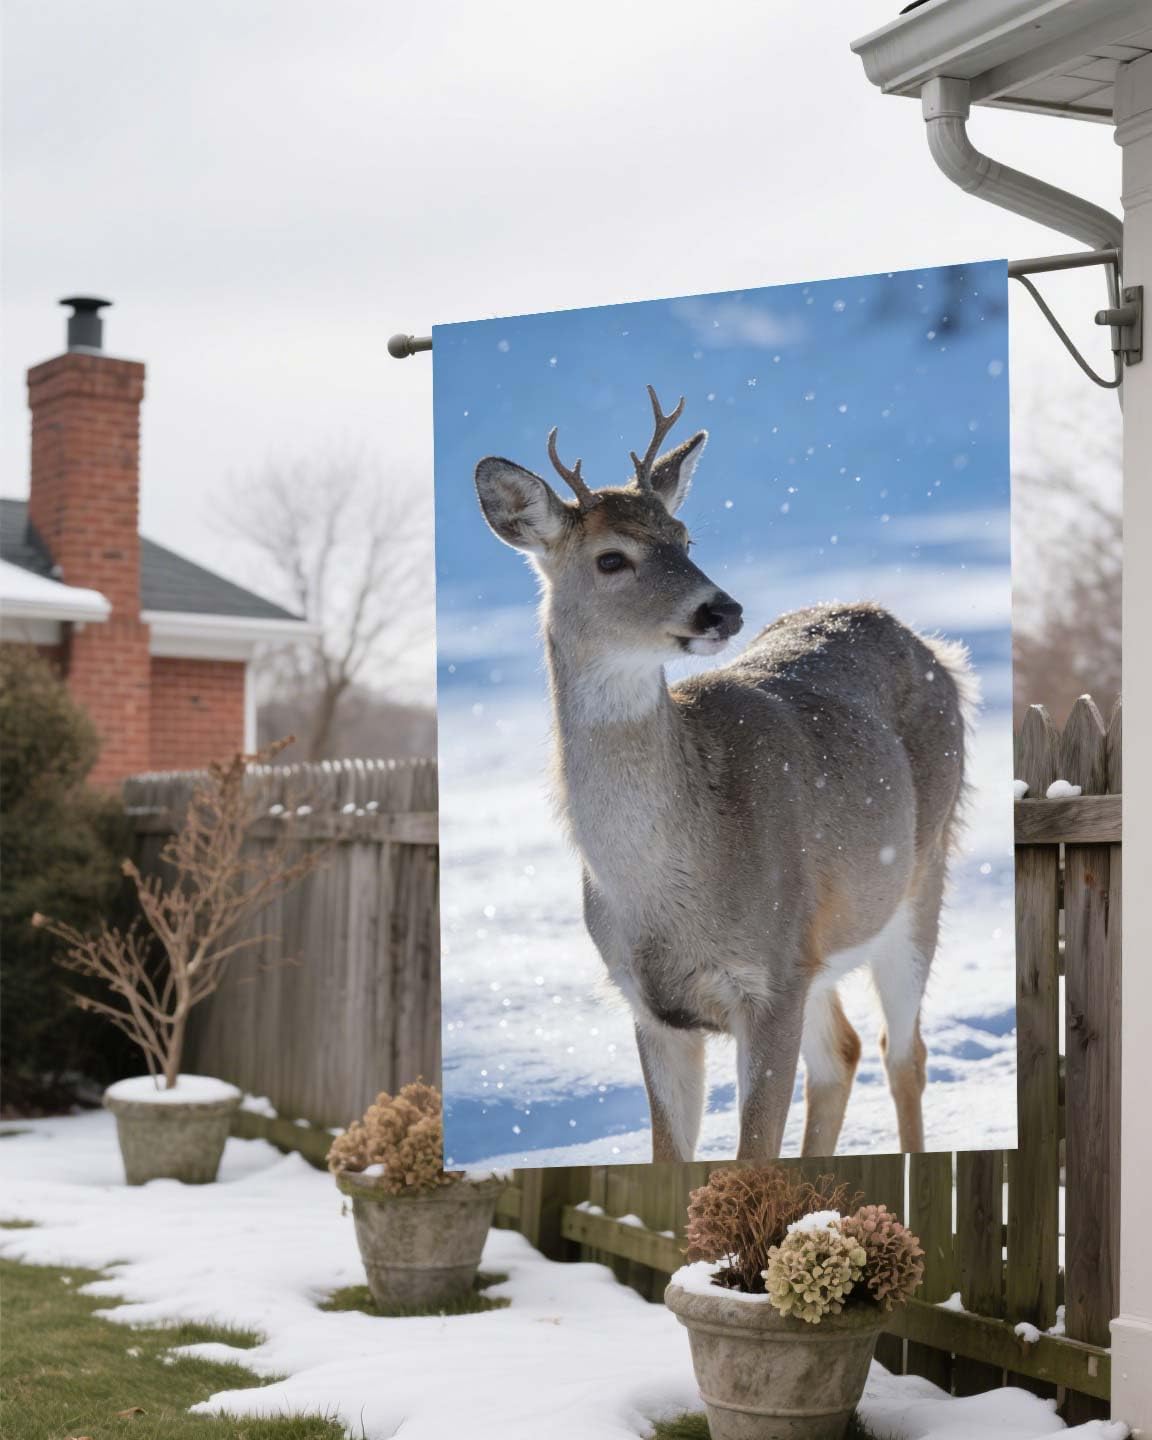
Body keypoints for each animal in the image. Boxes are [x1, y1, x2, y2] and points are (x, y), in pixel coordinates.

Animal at [474, 386, 971, 1162]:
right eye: (611, 559)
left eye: (685, 539)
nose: (723, 608)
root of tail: (934, 649)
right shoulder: (653, 1006)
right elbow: (672, 1157)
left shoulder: (770, 979)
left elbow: (751, 1155)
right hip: (822, 947)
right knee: (844, 1054)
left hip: (919, 876)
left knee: (904, 1052)